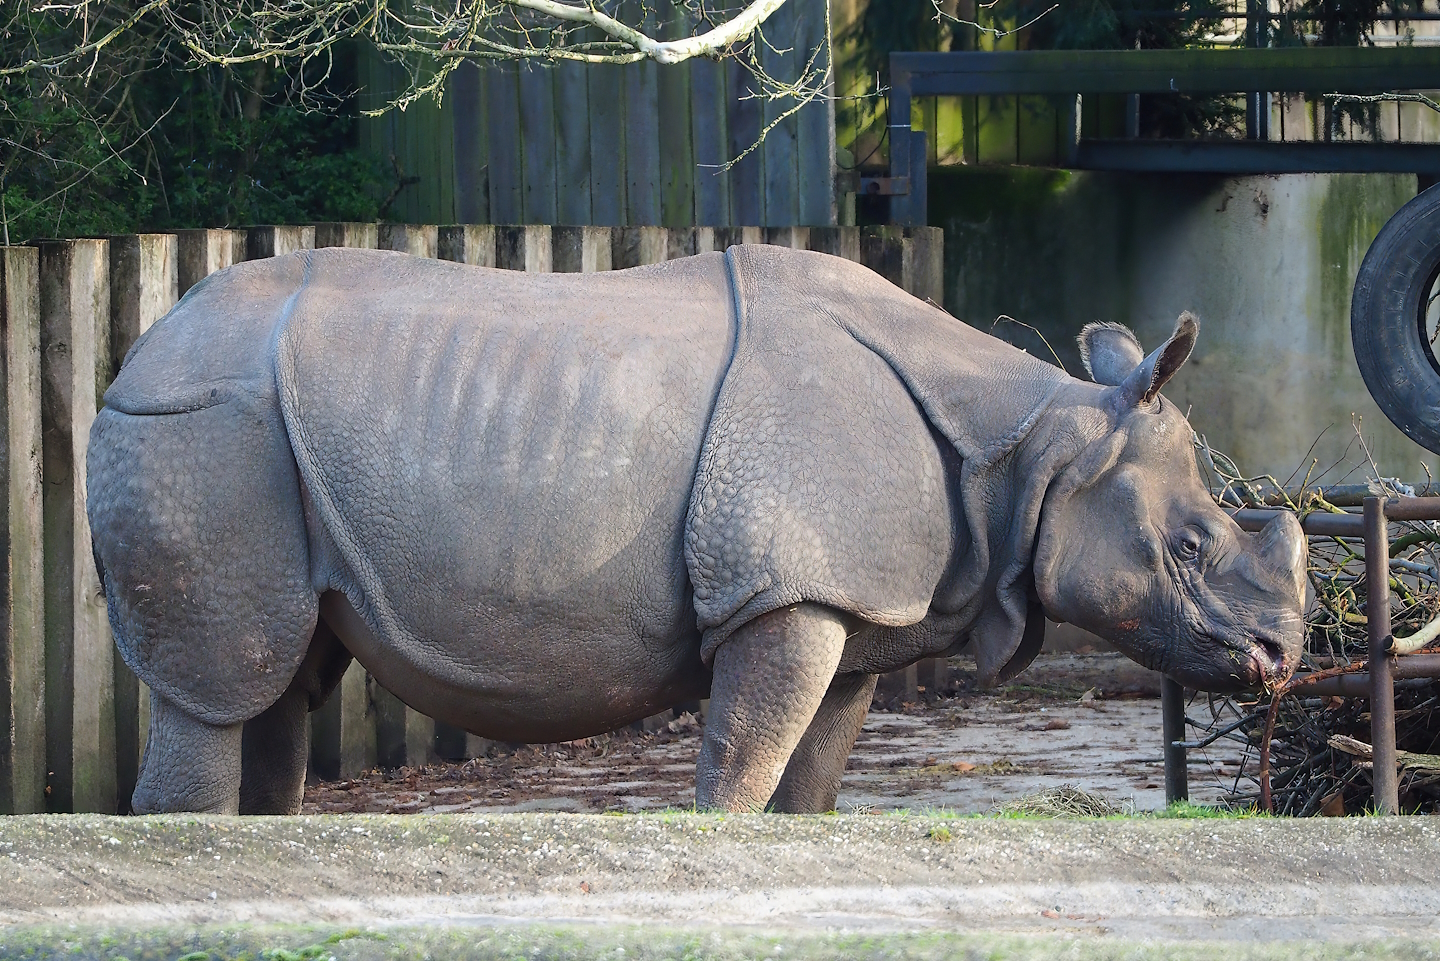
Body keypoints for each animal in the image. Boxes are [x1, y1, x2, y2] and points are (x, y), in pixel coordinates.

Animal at [87, 244, 1306, 816]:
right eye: (1189, 548)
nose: (1284, 657)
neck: (1038, 445)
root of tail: (134, 356)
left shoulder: (853, 608)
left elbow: (809, 782)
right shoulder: (784, 594)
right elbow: (741, 761)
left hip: (251, 441)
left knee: (281, 684)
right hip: (204, 429)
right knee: (218, 690)